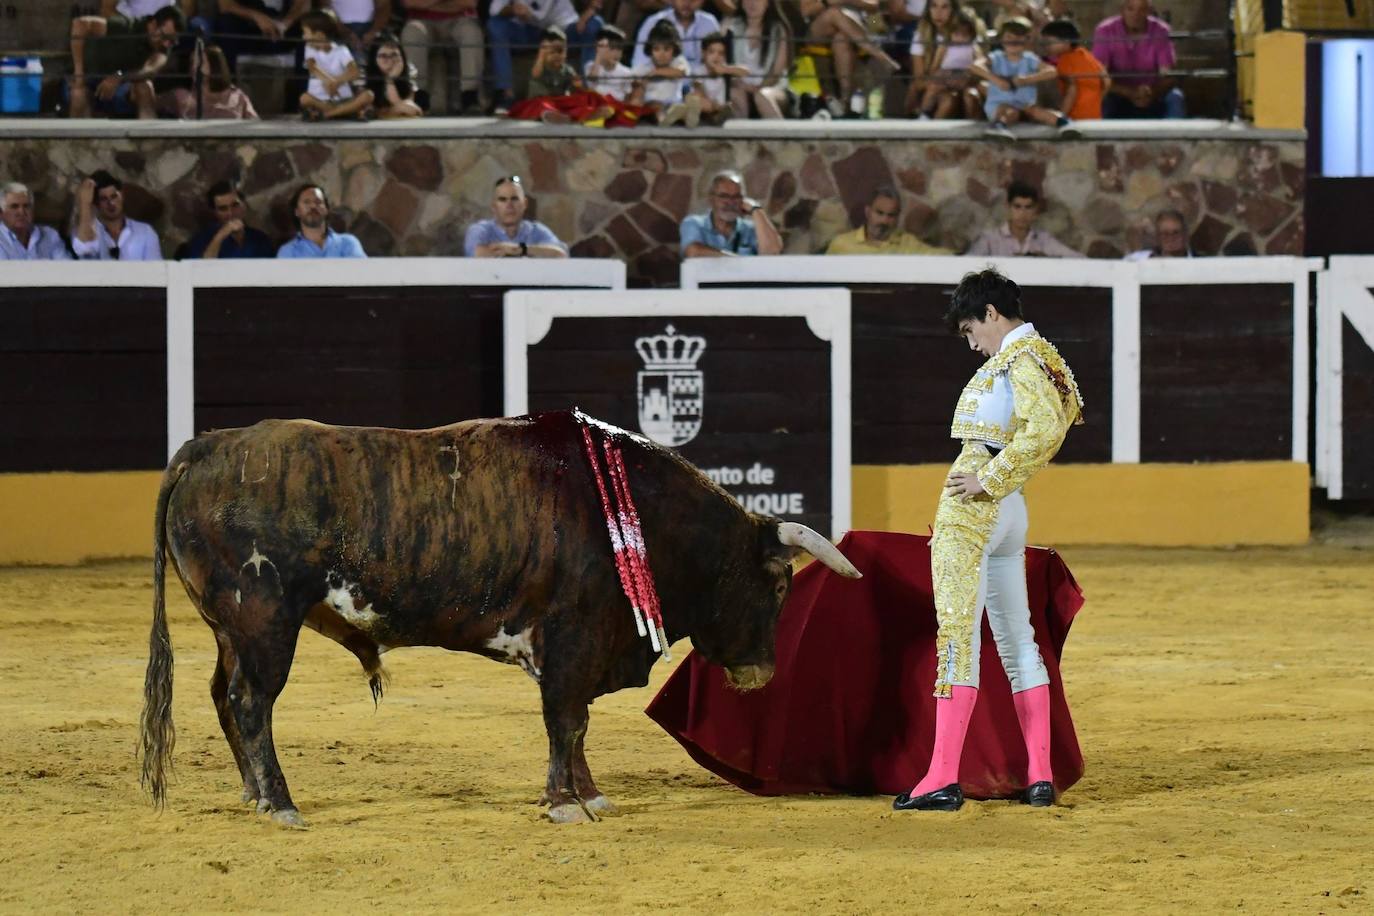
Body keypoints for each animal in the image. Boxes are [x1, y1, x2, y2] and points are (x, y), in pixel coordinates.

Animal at [144, 411, 862, 829]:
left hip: (231, 630)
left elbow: (577, 728)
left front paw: (590, 797)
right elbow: (565, 722)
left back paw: (255, 795)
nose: (760, 673)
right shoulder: (571, 642)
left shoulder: (579, 651)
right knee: (253, 702)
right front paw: (563, 805)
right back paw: (283, 804)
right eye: (779, 583)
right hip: (264, 621)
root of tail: (205, 448)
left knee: (224, 696)